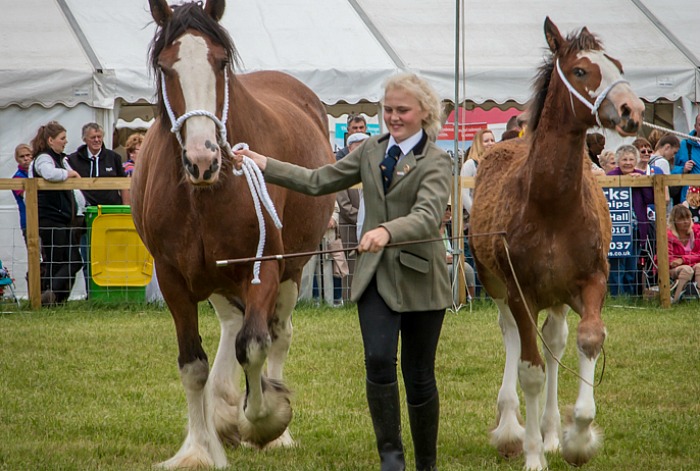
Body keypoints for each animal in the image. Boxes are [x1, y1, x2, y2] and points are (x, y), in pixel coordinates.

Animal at [132, 0, 336, 468]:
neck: (202, 195)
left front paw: (266, 420)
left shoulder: (262, 267)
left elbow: (255, 346)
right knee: (231, 324)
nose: (202, 159)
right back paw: (223, 409)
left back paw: (267, 428)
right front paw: (199, 448)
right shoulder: (174, 279)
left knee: (277, 333)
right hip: (216, 278)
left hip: (293, 269)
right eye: (166, 66)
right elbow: (193, 365)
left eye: (220, 62)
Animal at [470, 16, 644, 470]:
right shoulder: (520, 291)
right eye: (581, 70)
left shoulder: (591, 282)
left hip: (559, 297)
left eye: (619, 65)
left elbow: (588, 341)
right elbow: (530, 370)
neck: (550, 204)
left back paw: (549, 431)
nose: (632, 111)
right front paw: (532, 453)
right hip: (498, 287)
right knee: (513, 336)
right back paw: (511, 429)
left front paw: (575, 438)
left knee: (555, 342)